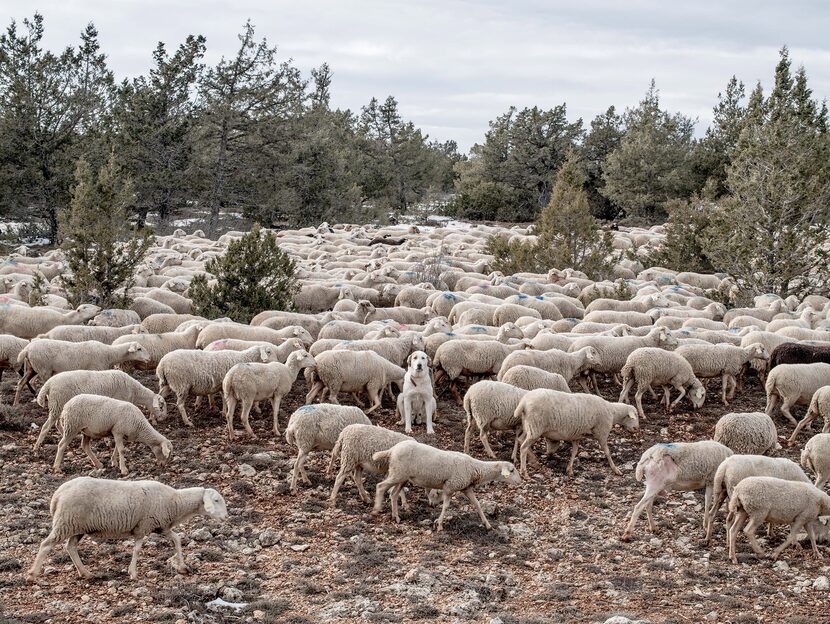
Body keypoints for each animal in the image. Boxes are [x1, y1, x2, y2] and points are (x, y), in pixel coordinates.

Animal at [14, 338, 151, 402]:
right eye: (139, 349)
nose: (149, 358)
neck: (109, 353)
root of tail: (27, 349)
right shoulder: (96, 369)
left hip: (32, 368)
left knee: (21, 383)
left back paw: (16, 403)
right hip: (43, 369)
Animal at [26, 476, 228, 584]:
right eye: (216, 500)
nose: (226, 517)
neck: (175, 502)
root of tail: (58, 494)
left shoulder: (160, 527)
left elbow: (177, 540)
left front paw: (183, 567)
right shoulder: (143, 526)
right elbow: (137, 549)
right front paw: (133, 573)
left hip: (77, 527)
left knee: (71, 547)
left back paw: (86, 573)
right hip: (66, 522)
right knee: (46, 545)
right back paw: (32, 574)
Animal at [34, 370, 167, 454]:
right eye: (161, 406)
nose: (163, 418)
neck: (135, 391)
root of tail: (48, 384)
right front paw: (108, 442)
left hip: (60, 407)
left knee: (57, 424)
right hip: (57, 404)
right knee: (46, 427)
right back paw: (36, 447)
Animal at [372, 438, 520, 532]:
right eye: (512, 470)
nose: (520, 481)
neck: (474, 468)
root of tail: (392, 450)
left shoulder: (466, 488)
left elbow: (477, 504)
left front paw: (488, 525)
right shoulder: (450, 487)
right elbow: (446, 506)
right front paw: (439, 525)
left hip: (402, 477)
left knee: (393, 494)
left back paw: (396, 517)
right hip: (397, 473)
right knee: (380, 486)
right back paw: (376, 510)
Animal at [512, 390, 644, 478]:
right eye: (635, 416)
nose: (636, 428)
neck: (612, 411)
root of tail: (524, 402)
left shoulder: (577, 436)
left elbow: (574, 452)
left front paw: (569, 469)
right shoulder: (602, 433)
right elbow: (607, 452)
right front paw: (615, 469)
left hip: (528, 426)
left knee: (520, 439)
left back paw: (533, 460)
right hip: (535, 427)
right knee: (523, 447)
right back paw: (524, 472)